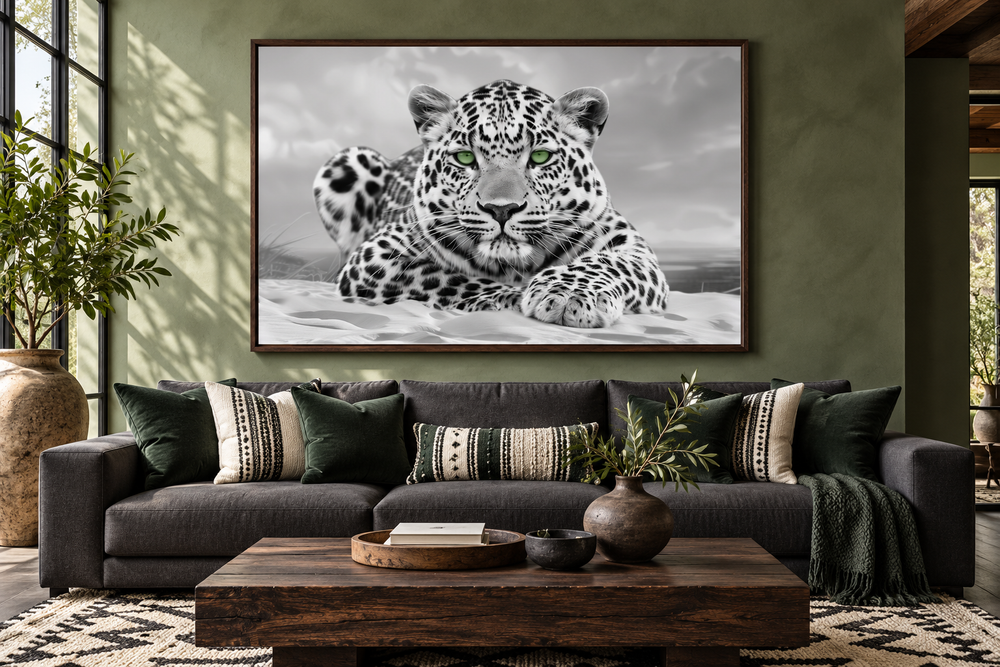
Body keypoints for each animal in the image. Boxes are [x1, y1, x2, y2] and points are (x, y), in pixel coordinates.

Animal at [312, 79, 669, 328]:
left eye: (540, 156)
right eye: (465, 158)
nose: (501, 209)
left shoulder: (629, 246)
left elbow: (607, 264)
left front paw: (570, 294)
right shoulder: (377, 255)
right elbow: (447, 279)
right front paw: (515, 298)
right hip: (349, 162)